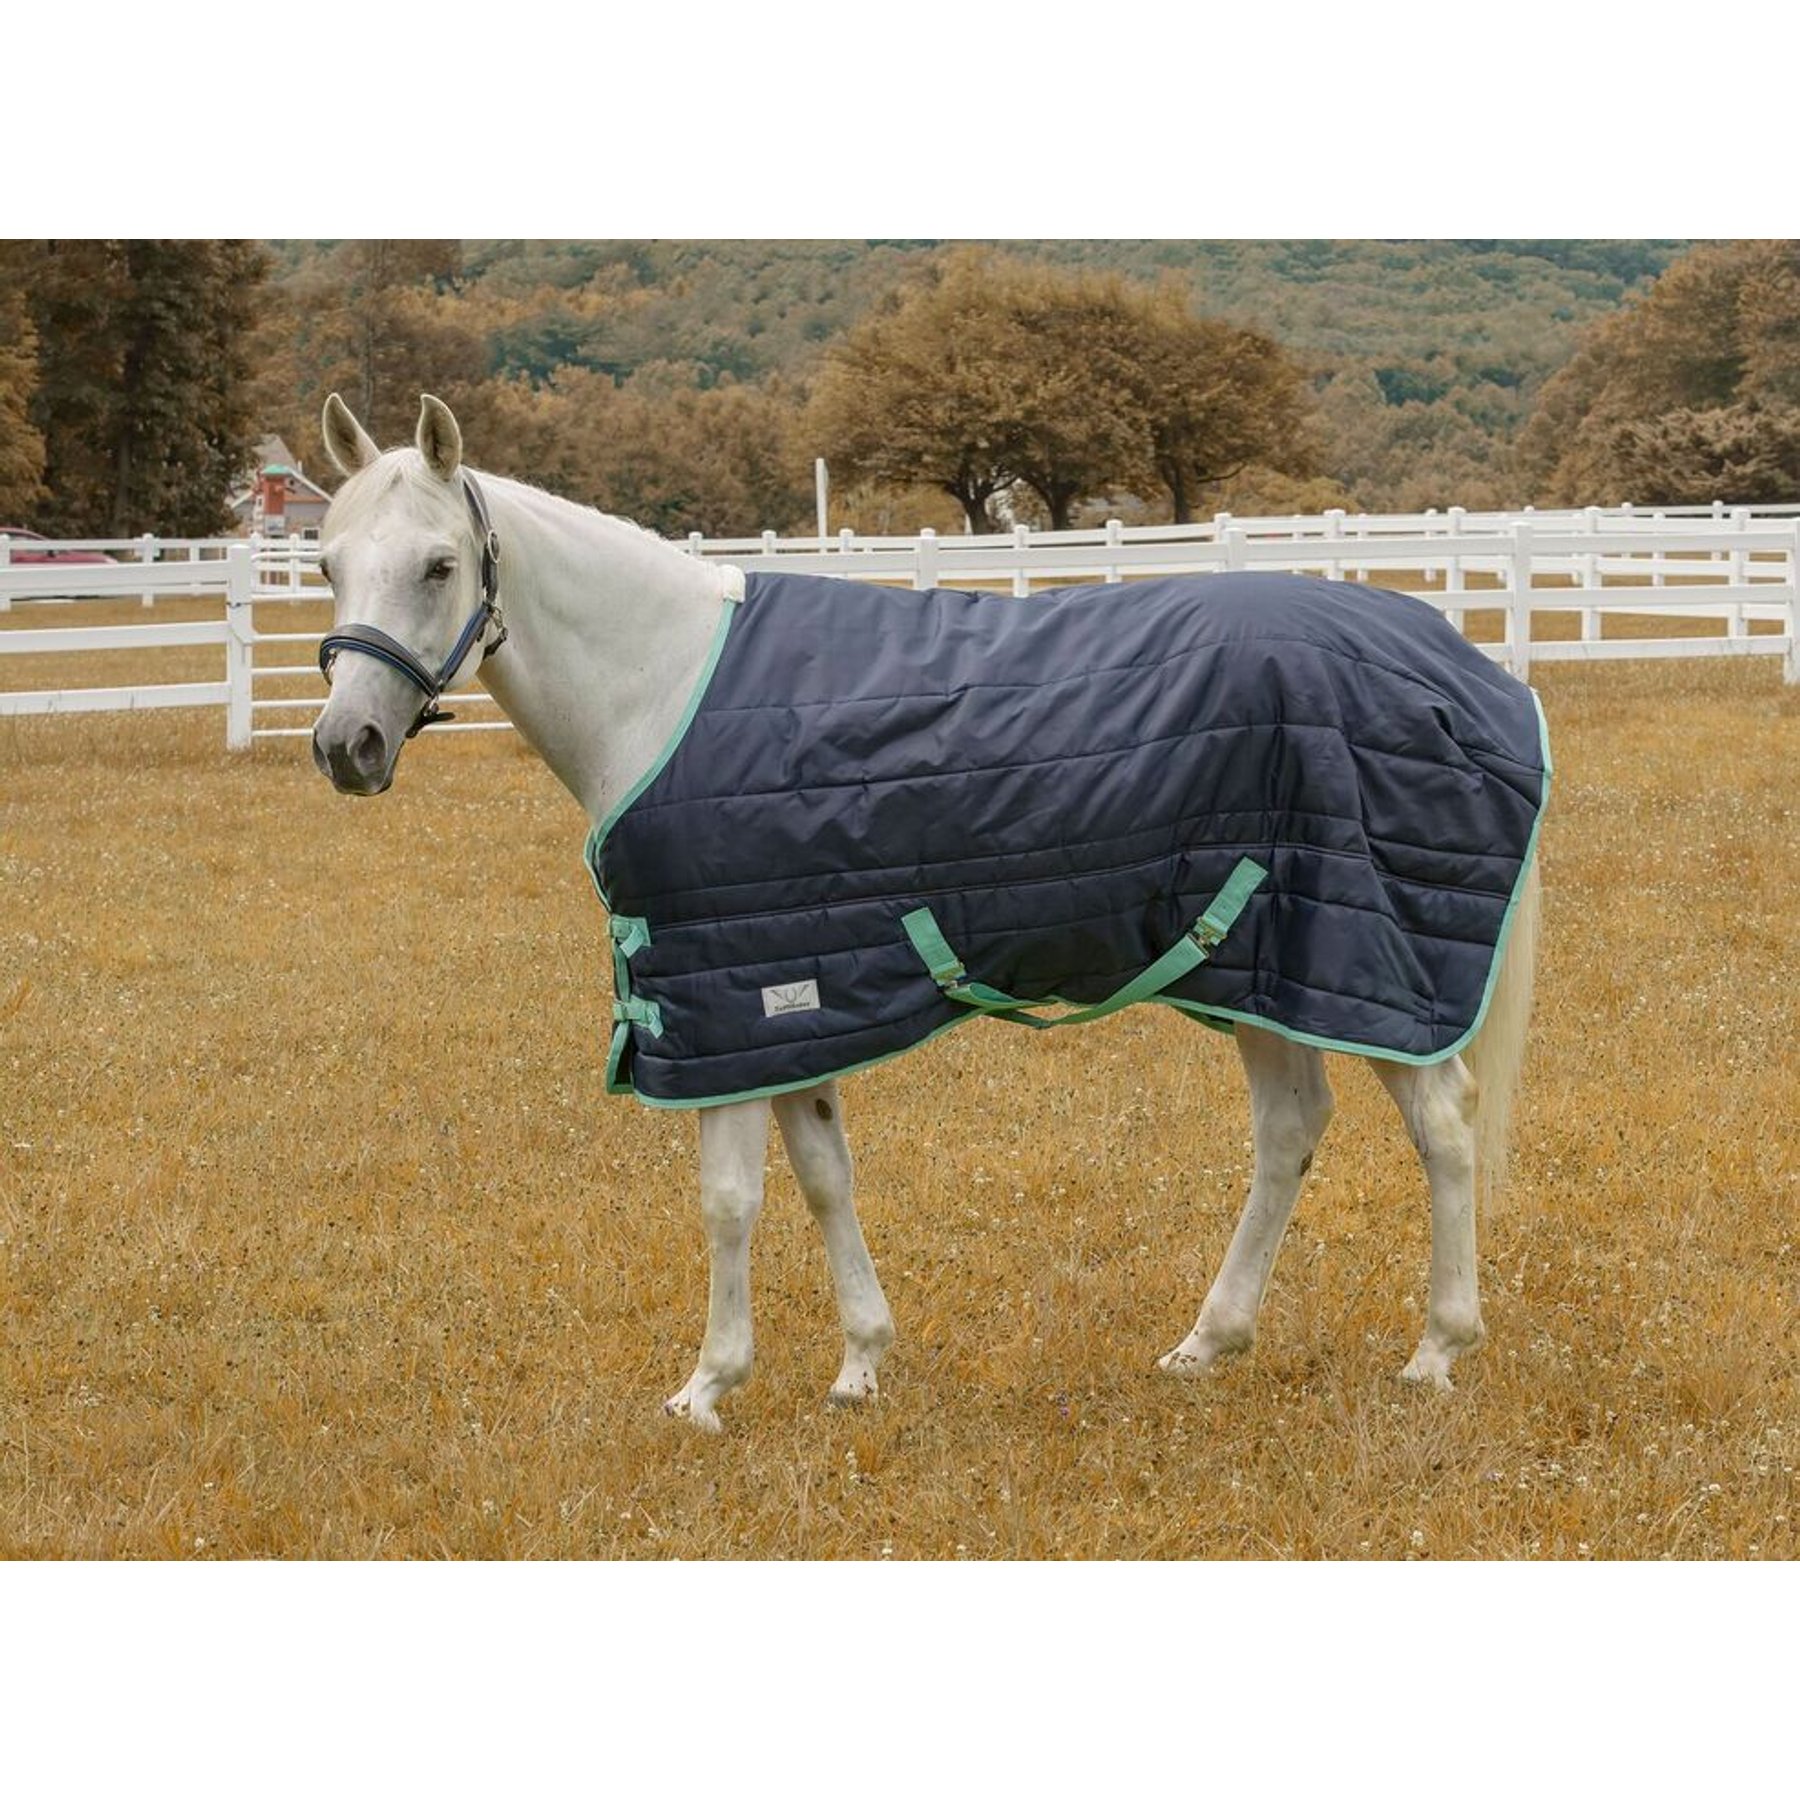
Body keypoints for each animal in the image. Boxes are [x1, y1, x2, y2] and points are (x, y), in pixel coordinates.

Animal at [310, 392, 1545, 1431]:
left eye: (438, 565)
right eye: (325, 563)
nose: (345, 746)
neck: (663, 686)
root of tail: (1466, 672)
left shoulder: (726, 1009)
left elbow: (728, 1202)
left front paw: (708, 1386)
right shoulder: (793, 998)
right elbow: (823, 1178)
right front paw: (860, 1362)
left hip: (1368, 966)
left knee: (1443, 1129)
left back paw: (1437, 1348)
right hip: (1263, 967)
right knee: (1290, 1129)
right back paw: (1210, 1341)